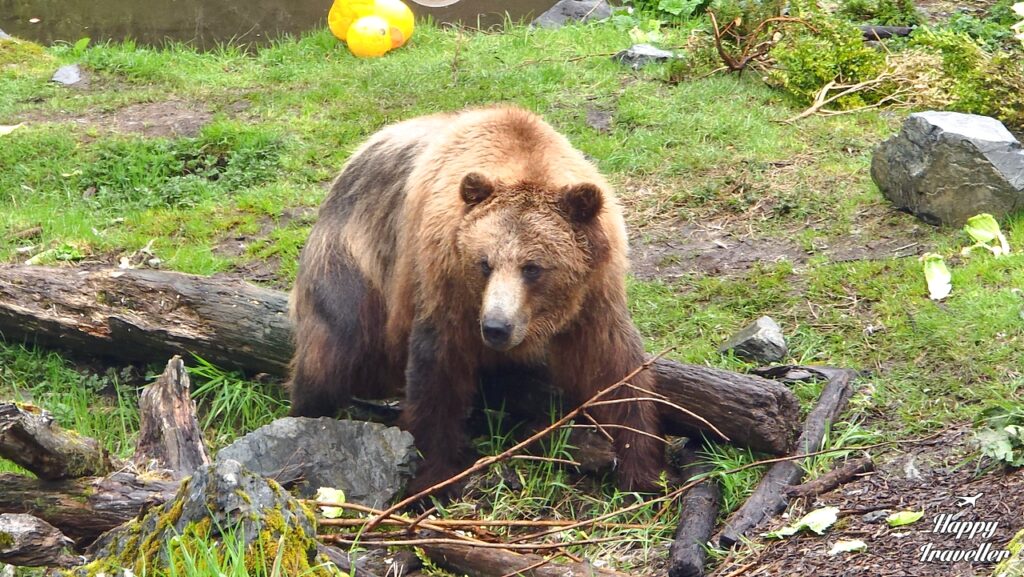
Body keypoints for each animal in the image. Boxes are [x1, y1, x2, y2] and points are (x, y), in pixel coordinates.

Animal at [288, 104, 664, 493]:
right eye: (484, 263)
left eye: (533, 268)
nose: (496, 326)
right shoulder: (444, 280)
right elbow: (437, 371)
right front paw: (435, 477)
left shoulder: (595, 291)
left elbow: (613, 366)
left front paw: (641, 468)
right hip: (354, 260)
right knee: (335, 348)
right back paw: (311, 410)